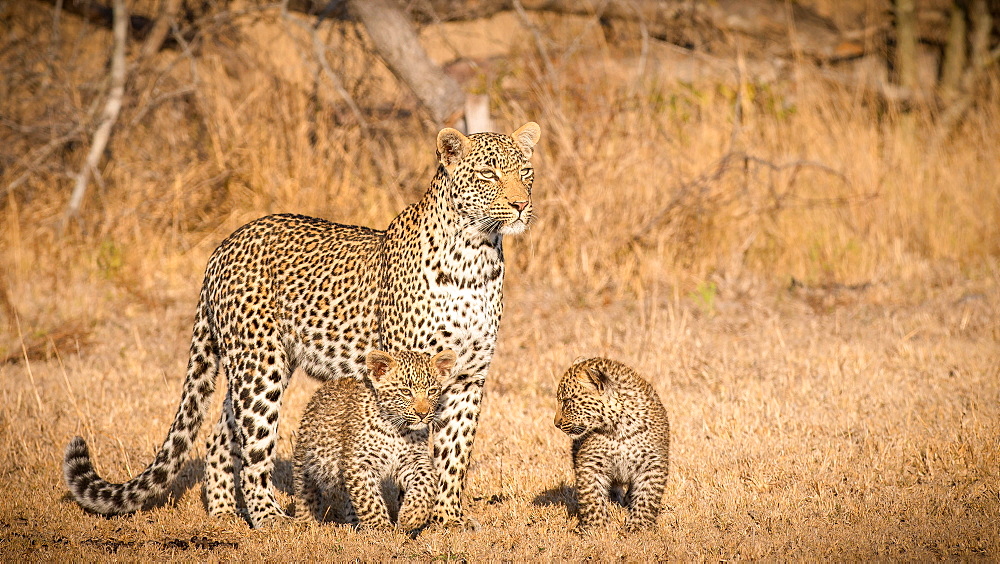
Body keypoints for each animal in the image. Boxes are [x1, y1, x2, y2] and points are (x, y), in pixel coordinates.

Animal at [64, 123, 540, 528]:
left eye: (526, 171)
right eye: (489, 173)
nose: (520, 205)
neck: (476, 256)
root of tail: (223, 245)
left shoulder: (466, 376)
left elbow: (455, 453)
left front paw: (449, 519)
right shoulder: (407, 367)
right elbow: (416, 442)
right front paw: (412, 514)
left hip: (256, 364)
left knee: (221, 435)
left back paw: (224, 513)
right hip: (261, 367)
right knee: (254, 447)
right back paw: (270, 519)